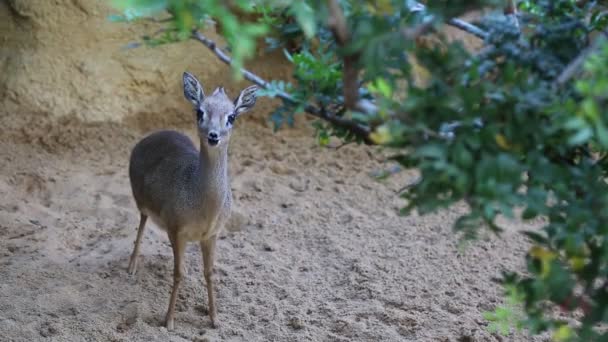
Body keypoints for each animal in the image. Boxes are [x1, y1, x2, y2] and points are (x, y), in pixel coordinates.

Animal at [127, 71, 258, 328]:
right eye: (200, 112)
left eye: (232, 116)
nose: (213, 136)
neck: (204, 206)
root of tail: (148, 138)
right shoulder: (176, 230)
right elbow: (179, 273)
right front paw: (168, 320)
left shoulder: (211, 235)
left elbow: (209, 273)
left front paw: (215, 319)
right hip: (142, 203)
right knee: (142, 223)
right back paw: (132, 267)